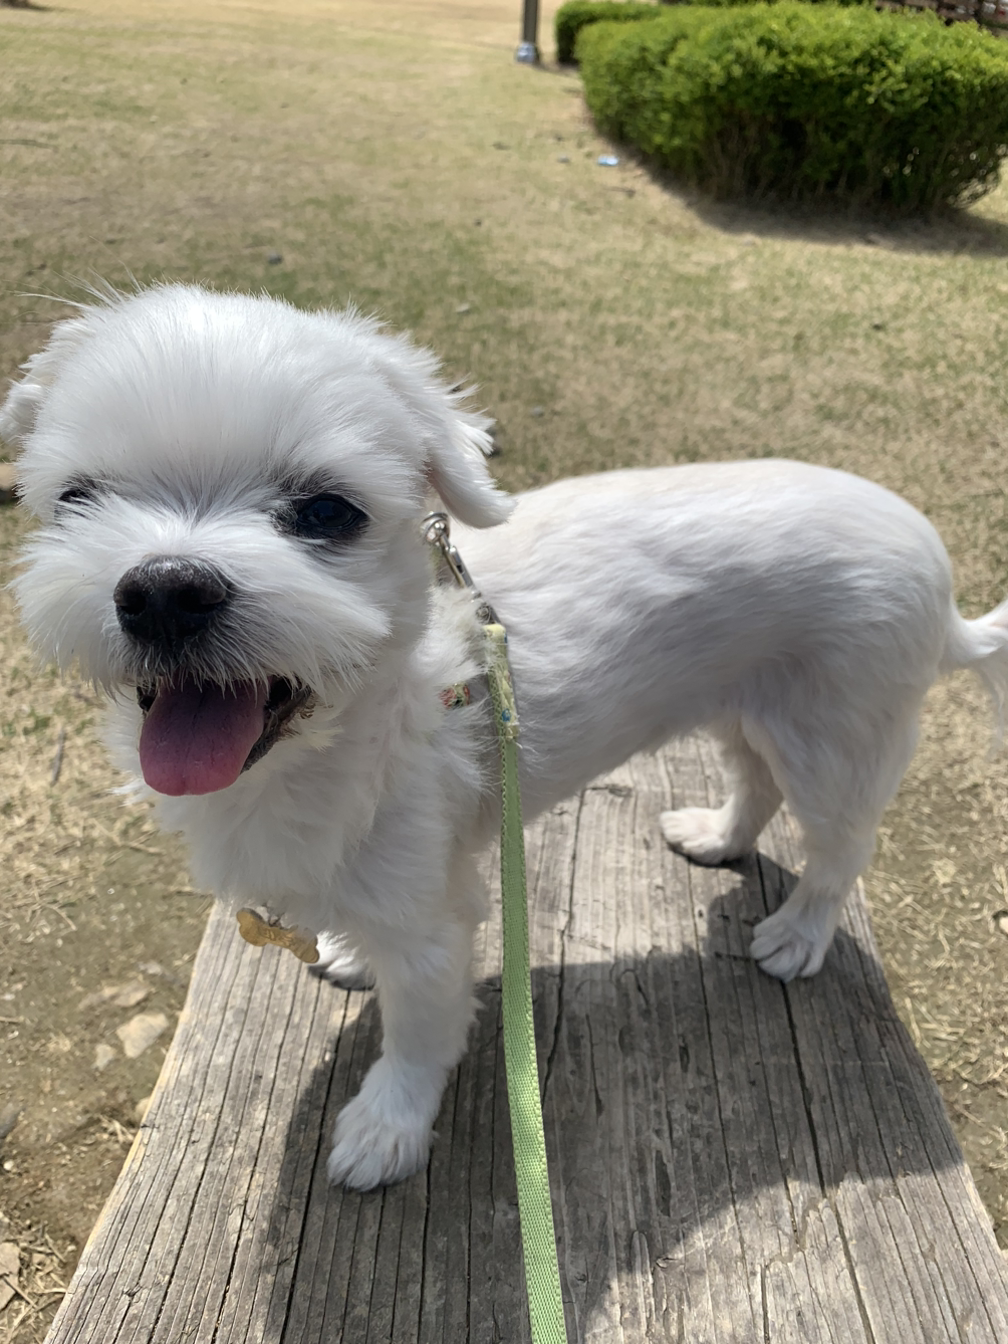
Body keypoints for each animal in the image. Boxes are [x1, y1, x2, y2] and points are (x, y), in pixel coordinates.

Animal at [4, 283, 1008, 1190]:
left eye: (326, 512)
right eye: (77, 499)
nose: (165, 589)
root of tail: (942, 577)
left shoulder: (434, 927)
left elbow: (419, 1034)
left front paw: (388, 1127)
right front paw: (350, 956)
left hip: (838, 738)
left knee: (841, 850)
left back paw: (799, 935)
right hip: (744, 705)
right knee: (753, 783)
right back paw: (719, 838)